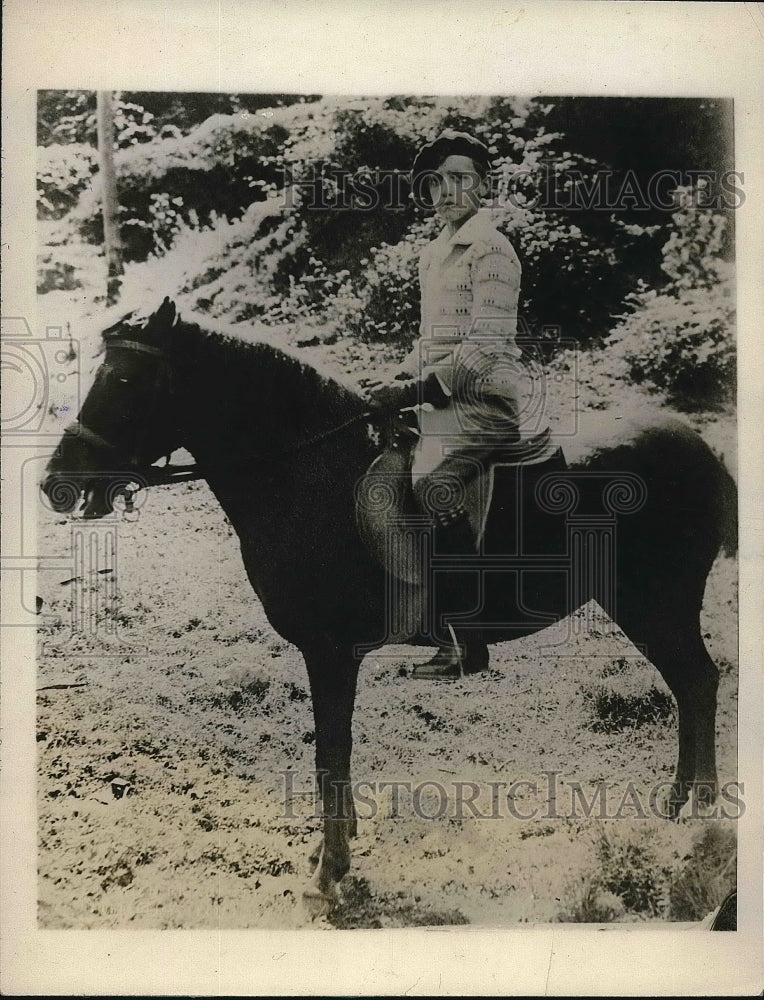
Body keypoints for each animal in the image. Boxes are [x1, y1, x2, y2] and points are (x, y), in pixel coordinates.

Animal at [40, 294, 736, 916]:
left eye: (124, 380)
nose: (57, 483)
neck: (308, 475)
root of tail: (698, 446)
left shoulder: (329, 653)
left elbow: (330, 755)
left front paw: (328, 875)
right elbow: (335, 757)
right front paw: (334, 852)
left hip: (654, 606)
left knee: (697, 683)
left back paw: (696, 816)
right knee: (689, 686)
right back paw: (678, 807)